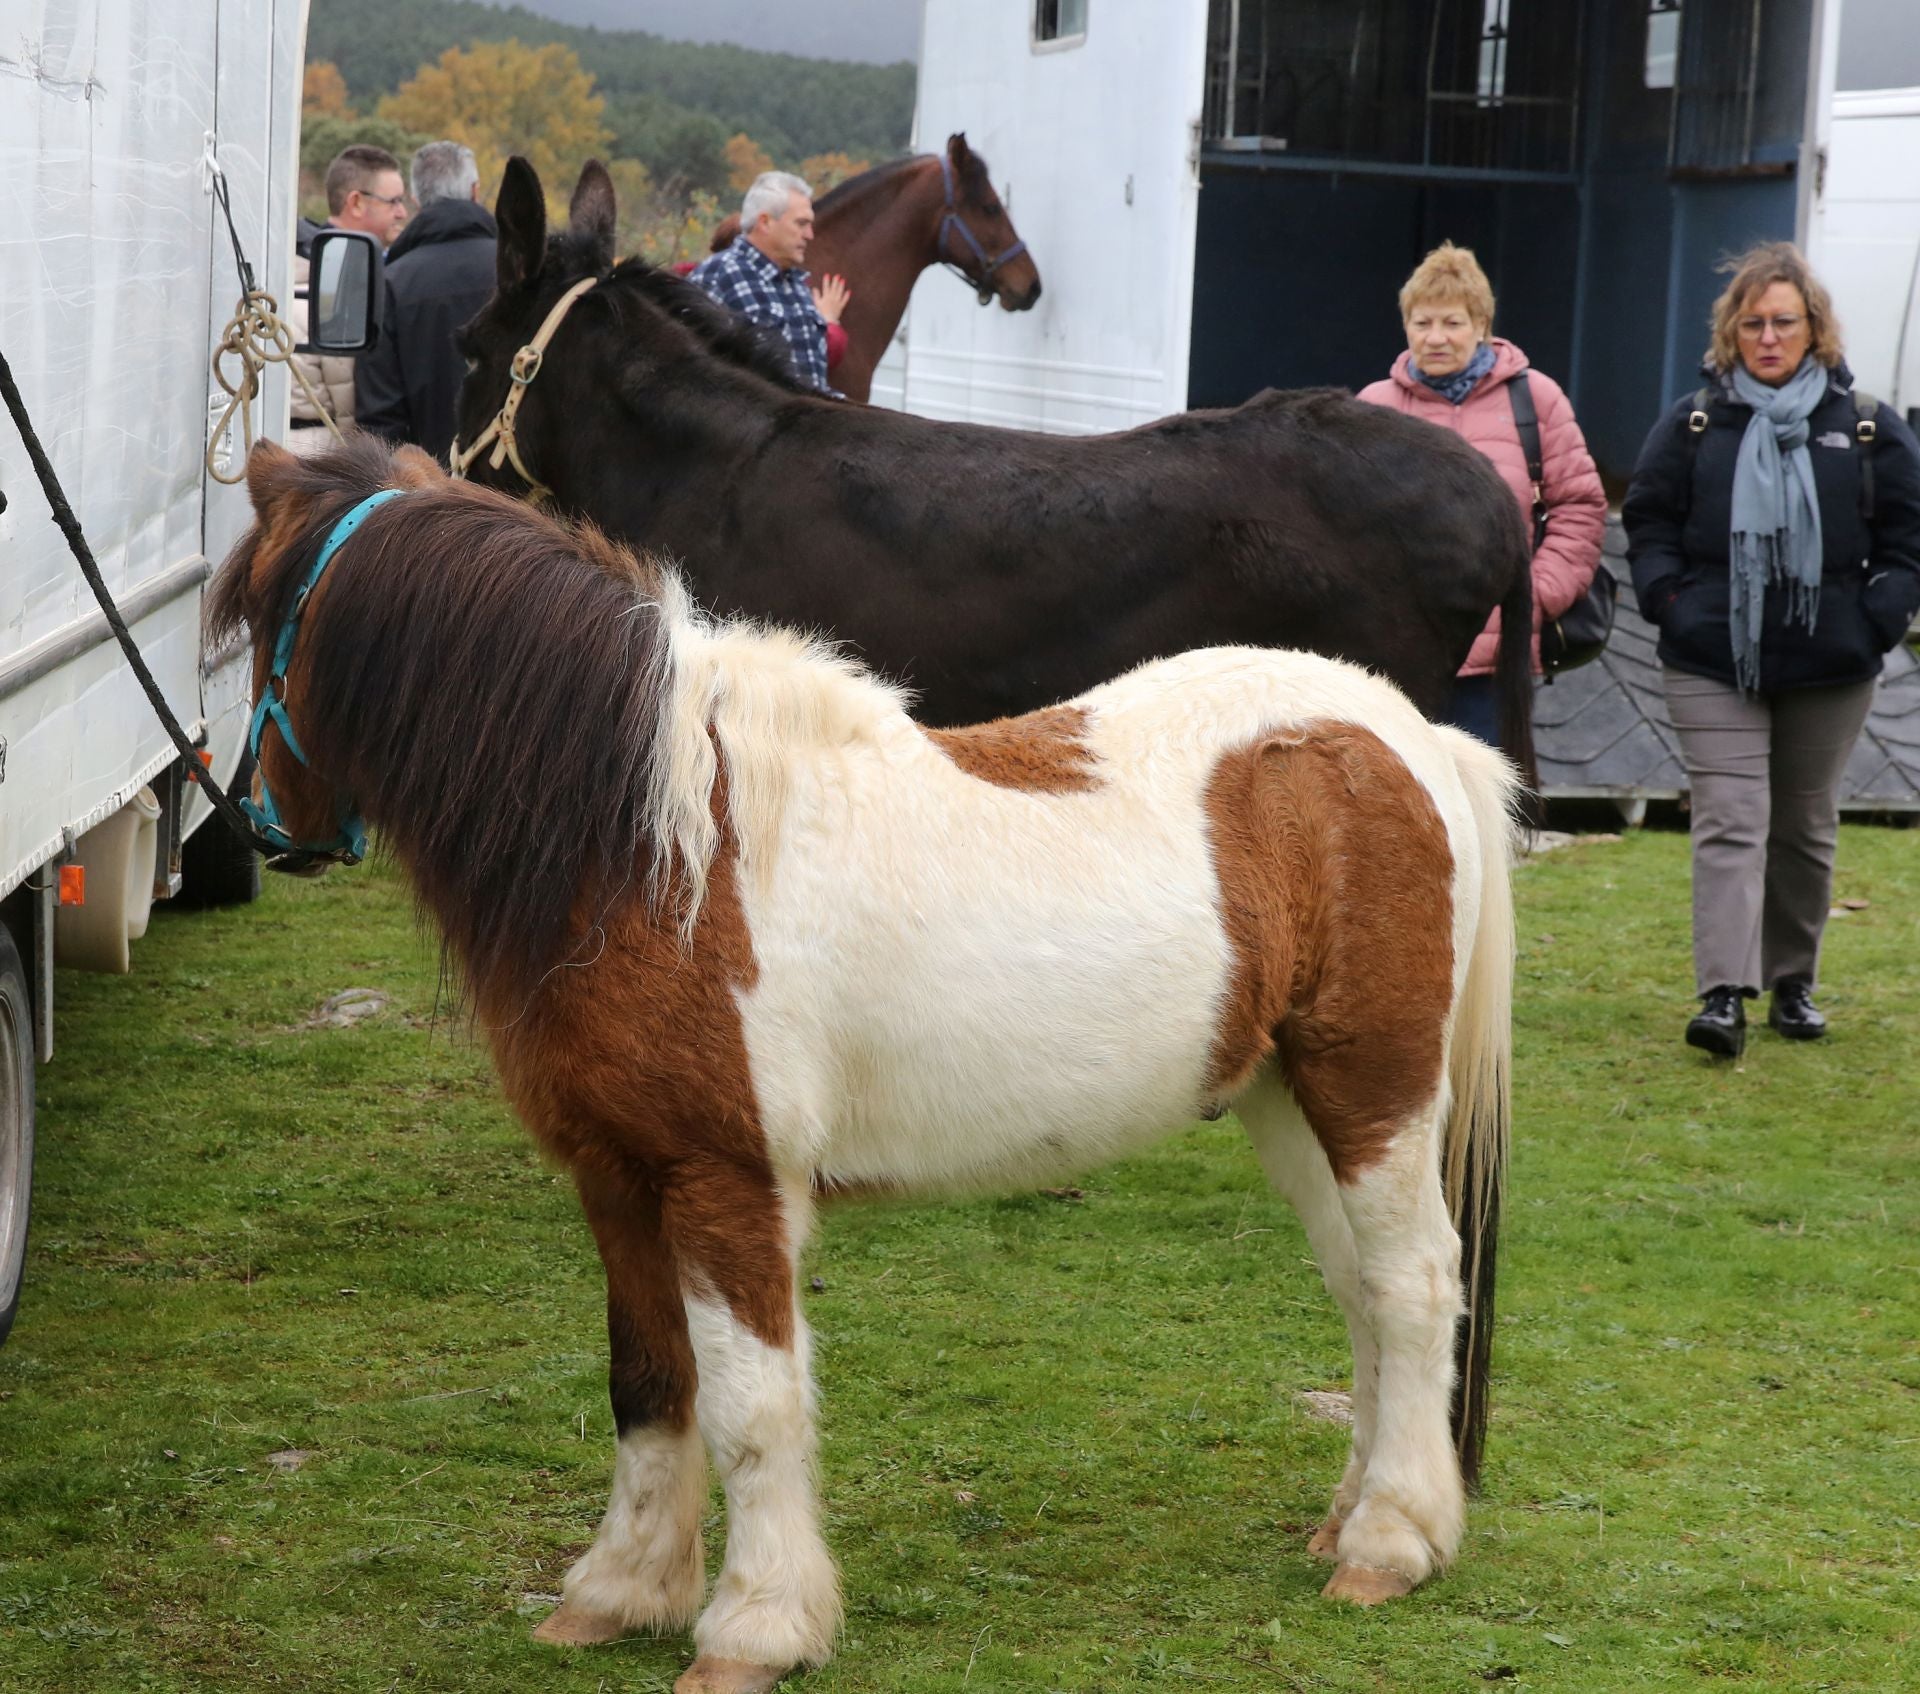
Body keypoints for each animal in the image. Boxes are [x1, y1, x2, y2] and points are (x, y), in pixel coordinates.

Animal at [217, 428, 1520, 1682]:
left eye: (262, 625)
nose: (263, 827)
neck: (662, 851)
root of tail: (1408, 735)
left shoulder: (728, 1180)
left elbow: (752, 1406)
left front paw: (753, 1627)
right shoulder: (618, 1176)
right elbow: (649, 1383)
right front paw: (617, 1591)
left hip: (1375, 1086)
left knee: (1413, 1281)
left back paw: (1391, 1542)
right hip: (1286, 1092)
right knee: (1359, 1285)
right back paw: (1349, 1514)